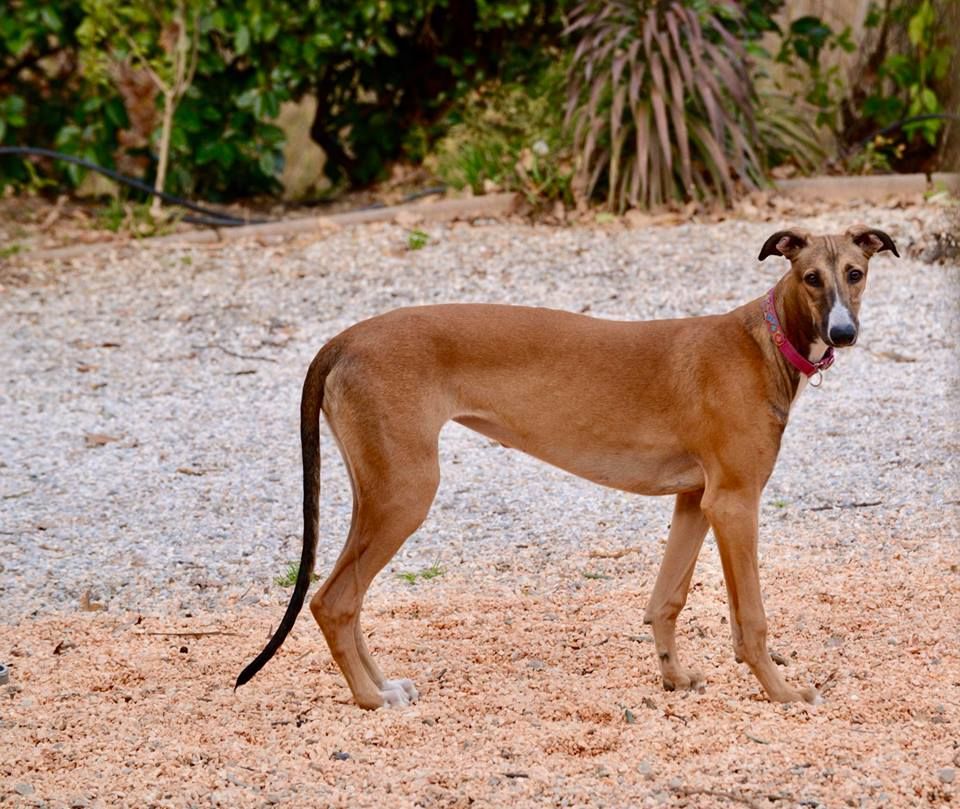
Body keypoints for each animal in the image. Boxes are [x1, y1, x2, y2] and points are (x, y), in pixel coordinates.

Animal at [236, 226, 896, 708]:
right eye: (810, 277)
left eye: (855, 274)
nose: (844, 331)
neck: (764, 341)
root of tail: (342, 339)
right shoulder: (734, 502)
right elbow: (752, 621)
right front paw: (784, 692)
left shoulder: (695, 501)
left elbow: (666, 600)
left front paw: (674, 679)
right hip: (405, 493)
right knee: (333, 600)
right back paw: (370, 700)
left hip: (376, 490)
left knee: (343, 598)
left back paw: (382, 685)